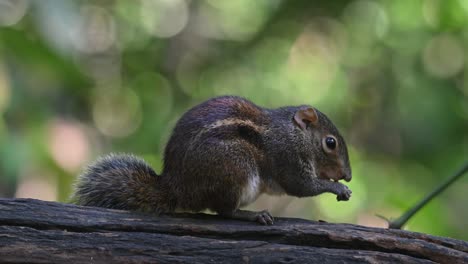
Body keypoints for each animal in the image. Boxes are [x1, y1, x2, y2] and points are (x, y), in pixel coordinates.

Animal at [72, 96, 352, 226]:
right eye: (330, 143)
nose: (348, 175)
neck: (293, 133)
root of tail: (176, 187)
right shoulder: (288, 157)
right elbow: (302, 186)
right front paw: (339, 188)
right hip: (236, 169)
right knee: (225, 211)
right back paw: (253, 215)